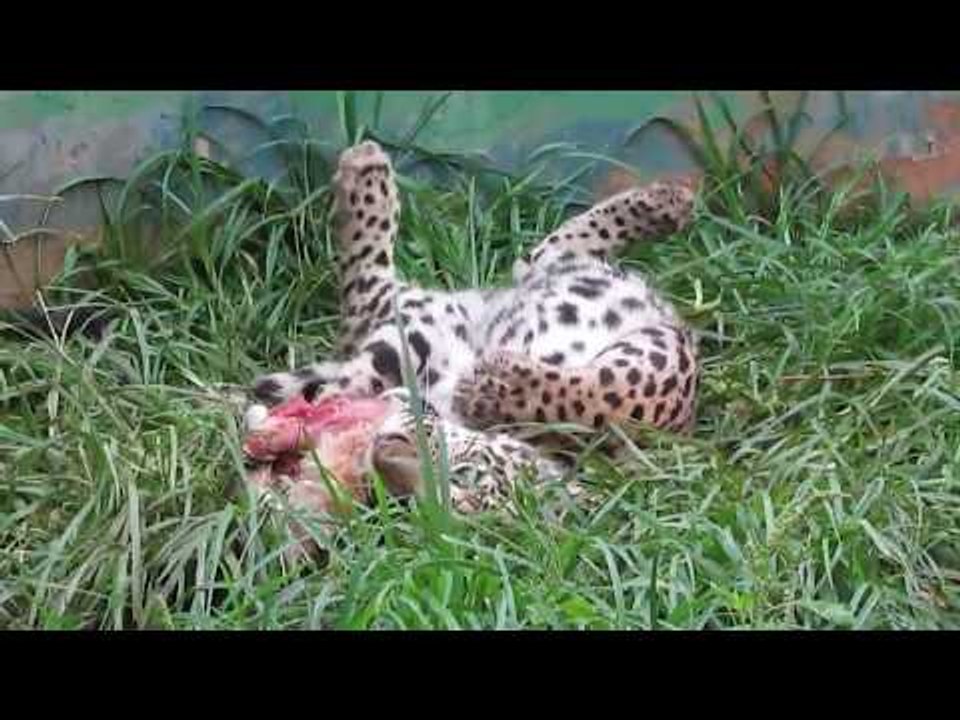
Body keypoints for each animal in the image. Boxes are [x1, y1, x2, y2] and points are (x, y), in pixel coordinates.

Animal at [244, 139, 699, 515]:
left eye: (461, 477)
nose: (389, 455)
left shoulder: (663, 383)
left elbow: (605, 400)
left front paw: (495, 387)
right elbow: (571, 239)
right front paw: (664, 202)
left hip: (412, 325)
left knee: (365, 292)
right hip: (424, 326)